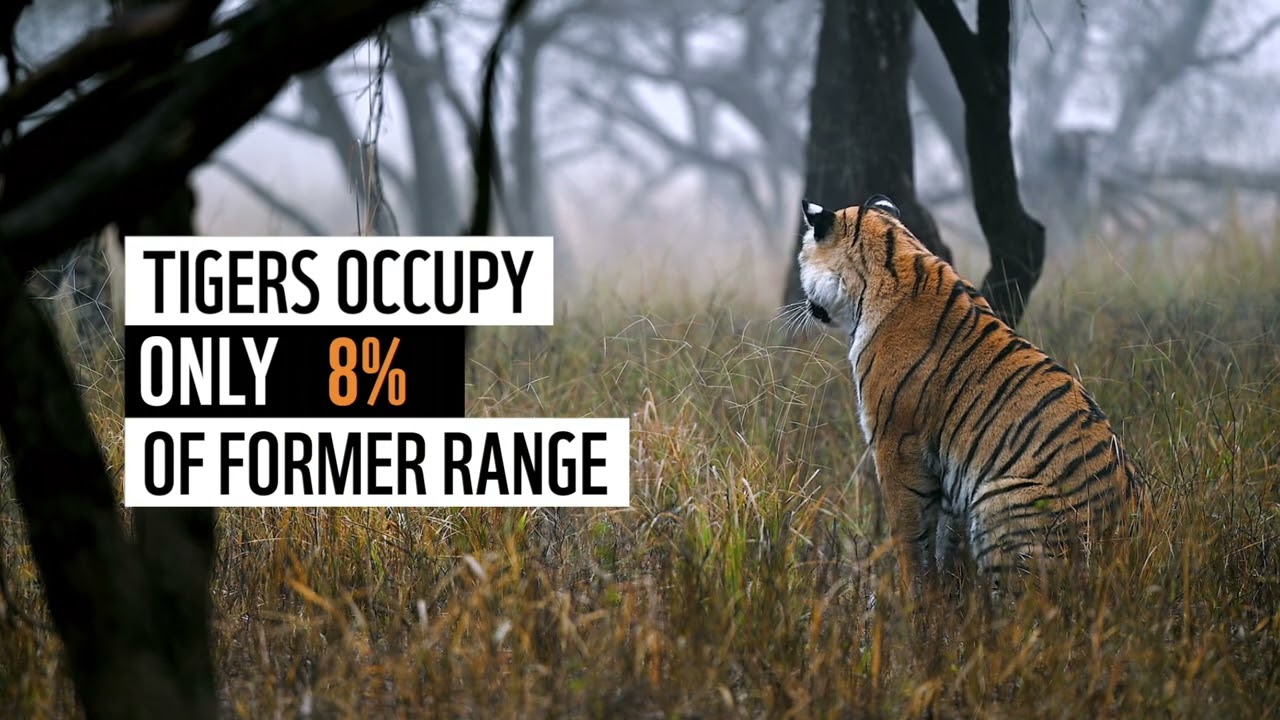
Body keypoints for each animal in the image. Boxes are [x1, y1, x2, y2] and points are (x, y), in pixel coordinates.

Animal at [795, 194, 1143, 593]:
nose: (805, 306)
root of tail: (1126, 541)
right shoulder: (946, 467)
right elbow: (945, 539)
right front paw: (944, 592)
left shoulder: (895, 444)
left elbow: (909, 534)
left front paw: (911, 594)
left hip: (1000, 502)